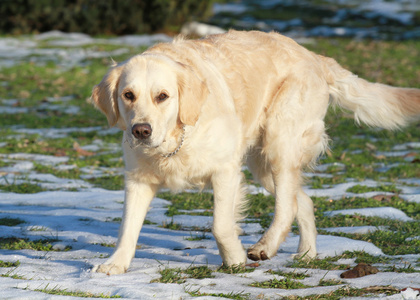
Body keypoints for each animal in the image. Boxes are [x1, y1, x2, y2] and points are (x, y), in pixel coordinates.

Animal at [89, 29, 420, 274]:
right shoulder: (138, 180)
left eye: (163, 96)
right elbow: (127, 228)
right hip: (261, 163)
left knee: (286, 206)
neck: (176, 140)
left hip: (279, 142)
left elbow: (221, 225)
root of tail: (313, 56)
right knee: (302, 201)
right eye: (128, 95)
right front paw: (115, 265)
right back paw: (307, 253)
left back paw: (265, 246)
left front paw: (234, 259)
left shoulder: (225, 171)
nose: (141, 131)